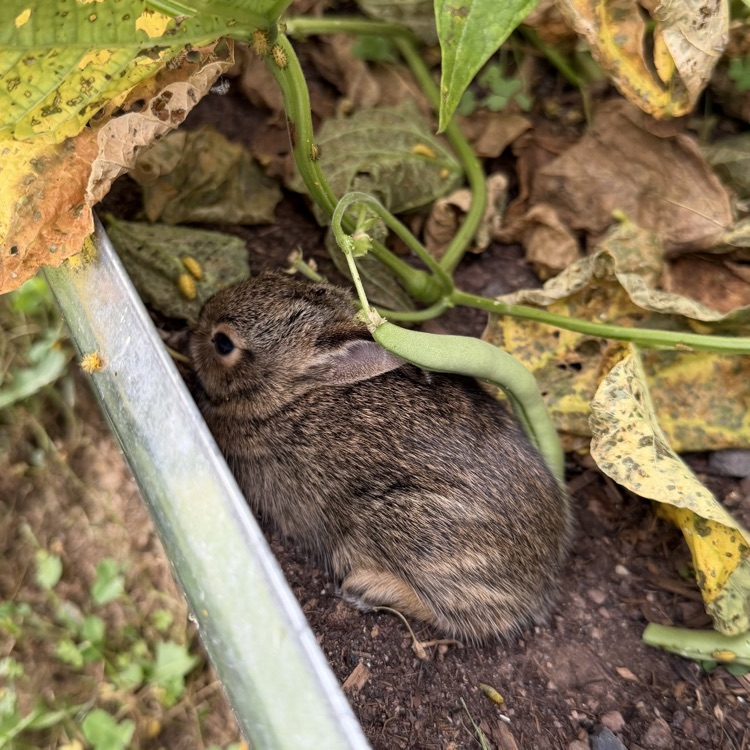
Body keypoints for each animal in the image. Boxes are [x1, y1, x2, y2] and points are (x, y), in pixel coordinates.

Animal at [189, 269, 572, 642]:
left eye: (223, 343)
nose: (200, 315)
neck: (287, 397)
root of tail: (542, 582)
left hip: (412, 529)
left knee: (472, 620)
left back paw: (369, 587)